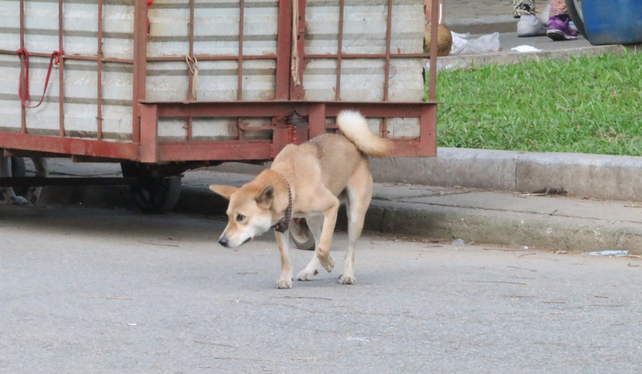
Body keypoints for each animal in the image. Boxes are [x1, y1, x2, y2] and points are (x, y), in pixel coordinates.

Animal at [210, 111, 390, 290]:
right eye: (228, 217)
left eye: (241, 217)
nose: (221, 241)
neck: (288, 183)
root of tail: (350, 141)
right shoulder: (280, 226)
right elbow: (286, 255)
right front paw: (285, 279)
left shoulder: (332, 206)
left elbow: (324, 247)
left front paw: (329, 261)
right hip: (313, 219)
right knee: (317, 241)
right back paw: (311, 270)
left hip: (355, 216)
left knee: (348, 248)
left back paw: (347, 273)